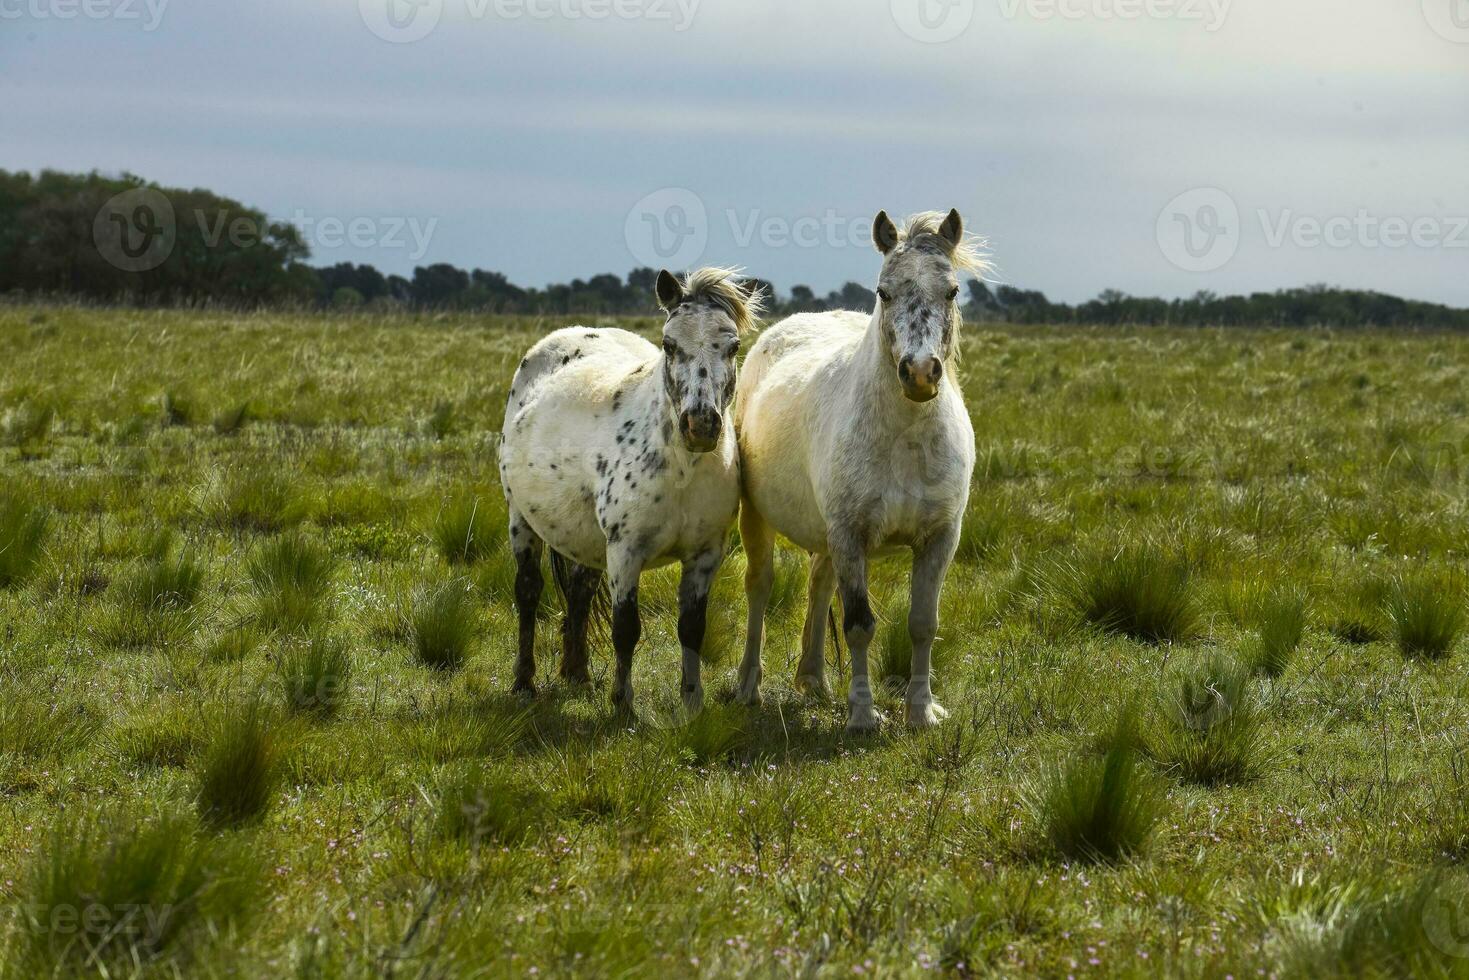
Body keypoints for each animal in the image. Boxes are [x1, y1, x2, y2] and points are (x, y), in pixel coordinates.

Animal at [499, 265, 763, 714]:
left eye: (733, 346)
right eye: (670, 344)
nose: (701, 425)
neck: (681, 470)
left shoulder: (705, 554)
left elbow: (692, 627)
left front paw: (692, 702)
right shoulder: (625, 551)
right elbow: (626, 628)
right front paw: (623, 706)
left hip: (584, 537)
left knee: (580, 591)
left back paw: (578, 675)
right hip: (522, 521)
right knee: (528, 592)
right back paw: (524, 683)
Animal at [734, 211, 987, 731]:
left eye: (952, 291)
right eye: (883, 292)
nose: (920, 373)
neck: (906, 439)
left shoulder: (939, 538)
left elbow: (922, 624)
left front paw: (921, 711)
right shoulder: (851, 536)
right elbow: (858, 626)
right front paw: (864, 715)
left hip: (828, 536)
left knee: (818, 584)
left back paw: (814, 679)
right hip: (759, 518)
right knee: (760, 588)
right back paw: (749, 685)